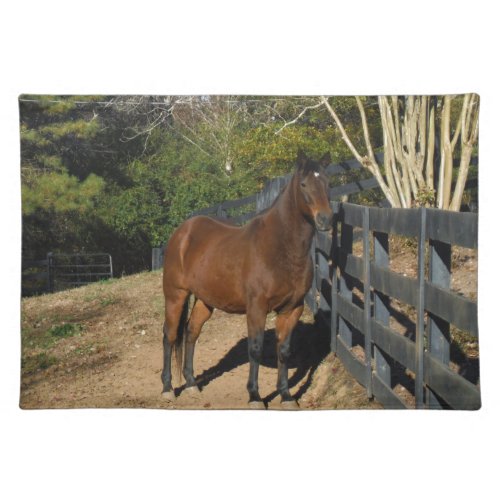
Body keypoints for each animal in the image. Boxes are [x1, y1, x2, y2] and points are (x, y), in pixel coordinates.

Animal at [160, 150, 332, 408]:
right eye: (304, 184)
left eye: (327, 182)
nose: (325, 220)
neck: (280, 248)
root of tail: (182, 233)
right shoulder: (257, 308)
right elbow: (256, 349)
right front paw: (255, 396)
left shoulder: (292, 309)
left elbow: (284, 350)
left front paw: (286, 396)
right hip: (175, 296)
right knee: (169, 336)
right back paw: (168, 388)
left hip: (205, 300)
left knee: (191, 332)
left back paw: (190, 384)